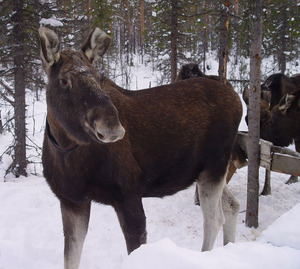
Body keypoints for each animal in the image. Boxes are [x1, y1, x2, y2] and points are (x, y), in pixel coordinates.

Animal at [38, 27, 243, 268]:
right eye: (63, 81)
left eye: (99, 77)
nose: (112, 126)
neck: (66, 153)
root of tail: (237, 97)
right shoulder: (72, 201)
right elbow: (70, 259)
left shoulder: (128, 195)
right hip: (206, 171)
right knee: (232, 206)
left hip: (214, 166)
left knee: (214, 219)